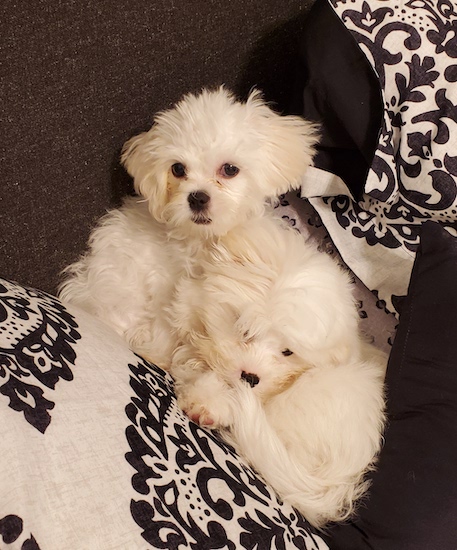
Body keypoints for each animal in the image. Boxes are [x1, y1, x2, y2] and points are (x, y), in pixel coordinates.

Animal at [58, 87, 318, 370]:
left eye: (230, 169)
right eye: (178, 168)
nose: (197, 198)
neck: (204, 242)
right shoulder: (164, 287)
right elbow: (168, 325)